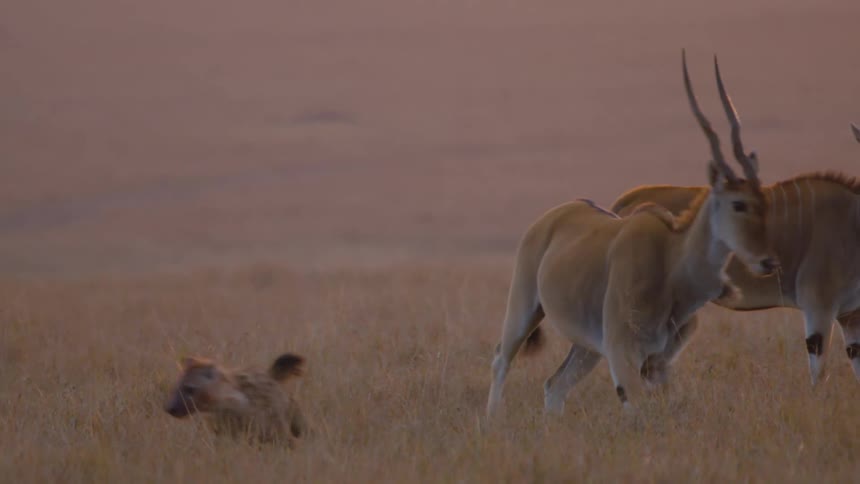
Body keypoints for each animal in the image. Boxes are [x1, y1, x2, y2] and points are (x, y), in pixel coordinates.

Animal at [486, 51, 777, 418]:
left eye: (764, 201)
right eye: (738, 203)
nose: (768, 261)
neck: (670, 261)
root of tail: (551, 217)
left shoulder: (657, 363)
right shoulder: (624, 356)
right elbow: (637, 414)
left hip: (588, 348)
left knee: (555, 385)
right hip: (525, 308)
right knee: (502, 359)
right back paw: (491, 420)